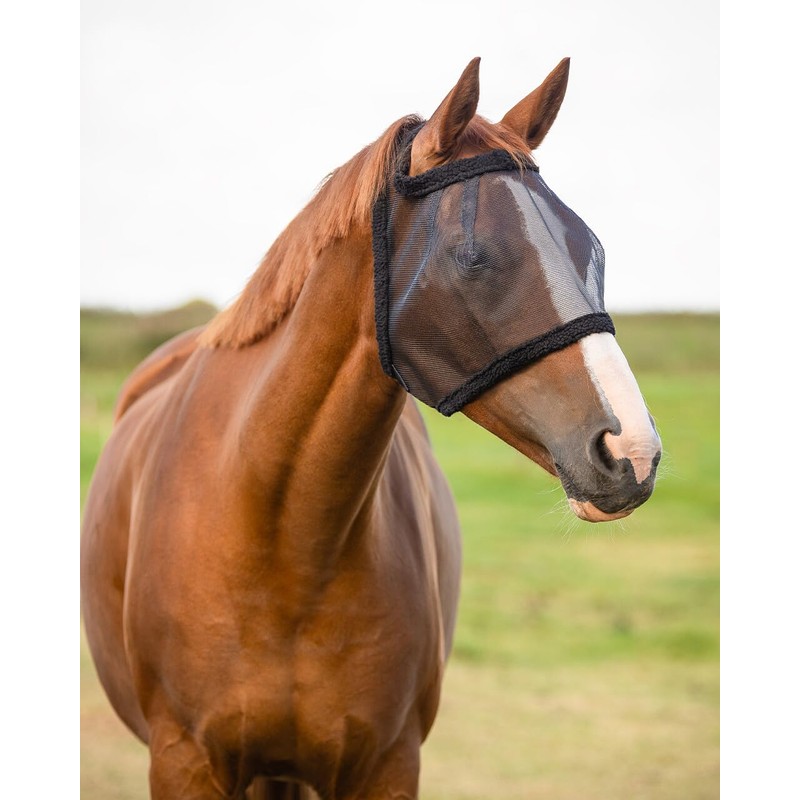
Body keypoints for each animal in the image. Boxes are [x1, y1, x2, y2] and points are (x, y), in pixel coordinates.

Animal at [80, 57, 661, 799]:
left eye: (593, 249)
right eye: (473, 257)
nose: (633, 450)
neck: (286, 544)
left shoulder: (387, 762)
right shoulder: (183, 760)